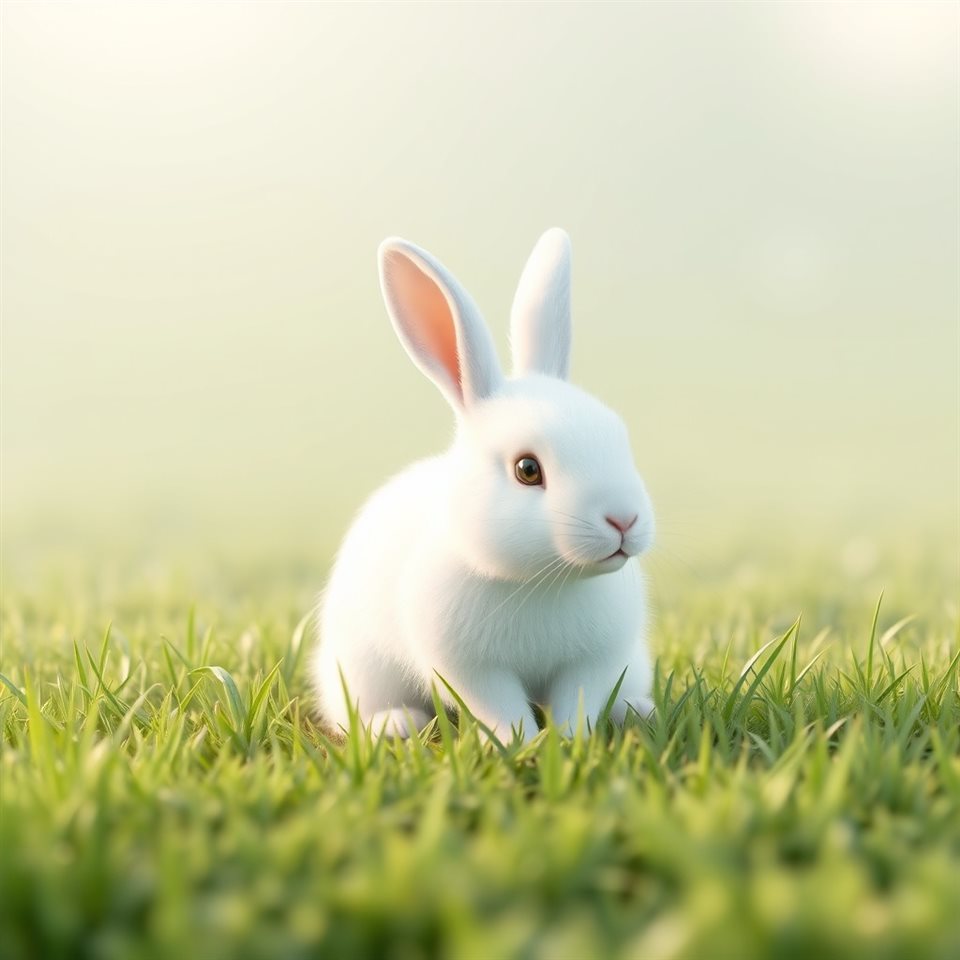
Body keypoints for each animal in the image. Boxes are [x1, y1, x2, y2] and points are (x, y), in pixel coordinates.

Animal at [312, 228, 655, 741]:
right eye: (527, 469)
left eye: (619, 436)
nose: (623, 519)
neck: (542, 581)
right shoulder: (472, 669)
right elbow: (500, 708)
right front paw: (524, 745)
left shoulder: (594, 661)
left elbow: (577, 701)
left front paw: (570, 741)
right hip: (361, 670)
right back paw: (396, 723)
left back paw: (636, 710)